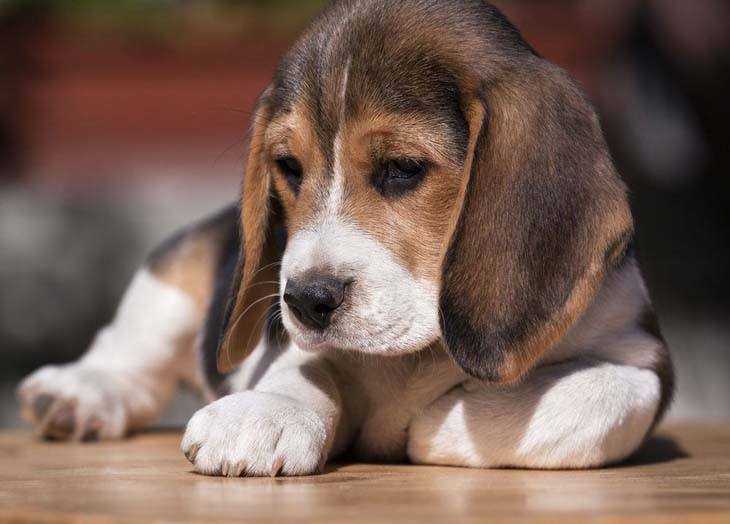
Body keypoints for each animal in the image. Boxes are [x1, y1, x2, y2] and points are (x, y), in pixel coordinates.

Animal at [17, 0, 672, 474]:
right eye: (289, 167)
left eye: (403, 168)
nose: (307, 300)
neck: (420, 349)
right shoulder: (284, 336)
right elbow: (304, 368)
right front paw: (266, 413)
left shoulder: (644, 356)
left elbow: (609, 393)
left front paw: (442, 424)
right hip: (175, 276)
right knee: (131, 353)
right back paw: (78, 393)